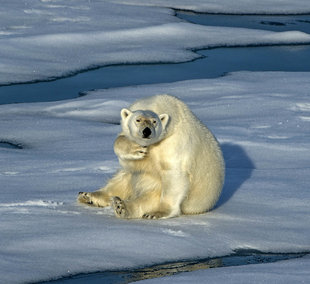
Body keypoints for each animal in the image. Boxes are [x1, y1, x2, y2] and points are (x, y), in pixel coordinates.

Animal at [77, 95, 223, 220]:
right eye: (138, 120)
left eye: (154, 122)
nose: (146, 131)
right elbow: (124, 151)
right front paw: (136, 150)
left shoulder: (173, 144)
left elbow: (174, 175)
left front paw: (158, 212)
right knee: (121, 179)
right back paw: (88, 196)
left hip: (157, 189)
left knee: (147, 199)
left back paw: (122, 206)